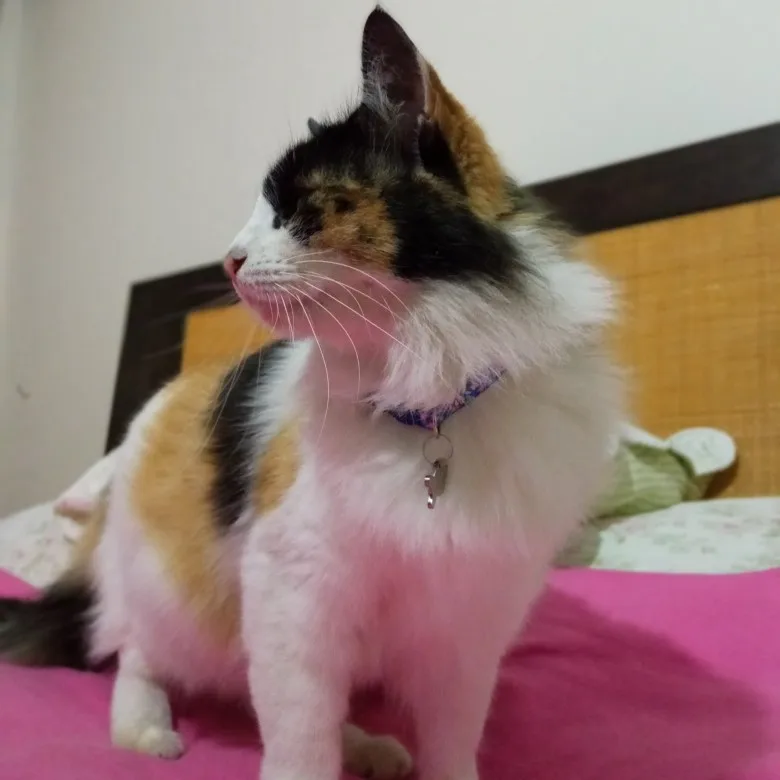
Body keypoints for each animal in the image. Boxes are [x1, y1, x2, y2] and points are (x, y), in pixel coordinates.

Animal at [0, 8, 620, 780]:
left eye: (293, 206)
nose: (228, 261)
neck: (426, 401)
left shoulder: (470, 623)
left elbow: (449, 740)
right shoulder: (291, 591)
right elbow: (298, 737)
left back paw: (372, 748)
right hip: (180, 600)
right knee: (139, 655)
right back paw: (146, 729)